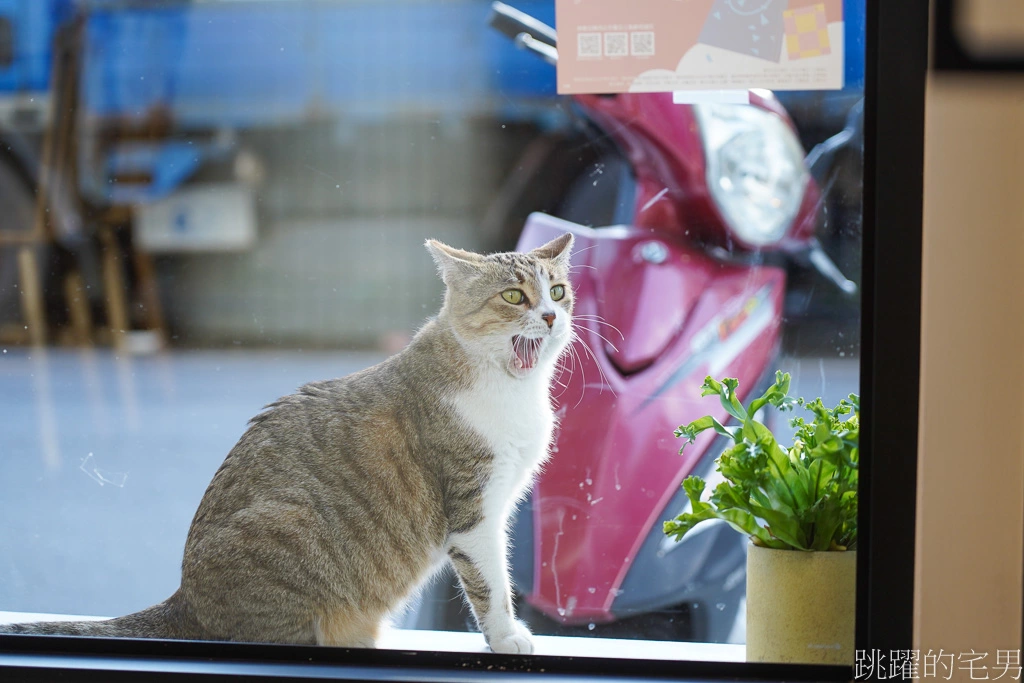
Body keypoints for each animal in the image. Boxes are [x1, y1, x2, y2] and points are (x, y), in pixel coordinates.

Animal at [0, 235, 577, 655]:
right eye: (514, 296)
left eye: (558, 292)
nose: (552, 317)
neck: (509, 387)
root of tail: (185, 599)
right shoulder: (473, 509)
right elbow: (490, 583)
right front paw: (508, 637)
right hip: (290, 530)